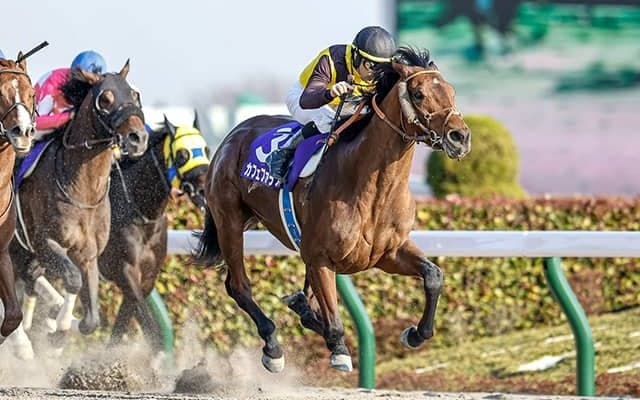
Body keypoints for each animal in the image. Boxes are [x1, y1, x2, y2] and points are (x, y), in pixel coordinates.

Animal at [10, 61, 148, 354]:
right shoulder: (45, 242)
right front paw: (59, 325)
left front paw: (61, 328)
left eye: (134, 95)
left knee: (28, 277)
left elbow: (91, 321)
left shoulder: (89, 254)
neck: (83, 190)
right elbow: (73, 279)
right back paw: (21, 342)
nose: (138, 138)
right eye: (105, 99)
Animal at [99, 113, 209, 354]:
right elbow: (148, 326)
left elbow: (127, 322)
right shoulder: (123, 270)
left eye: (206, 149)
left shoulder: (148, 276)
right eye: (182, 155)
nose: (206, 190)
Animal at [193, 47, 472, 372]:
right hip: (230, 222)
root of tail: (232, 135)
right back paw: (273, 347)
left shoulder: (388, 253)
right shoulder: (320, 258)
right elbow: (334, 319)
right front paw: (339, 349)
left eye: (451, 92)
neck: (373, 188)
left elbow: (433, 275)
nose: (460, 137)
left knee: (302, 305)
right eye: (418, 93)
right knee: (239, 286)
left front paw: (415, 334)